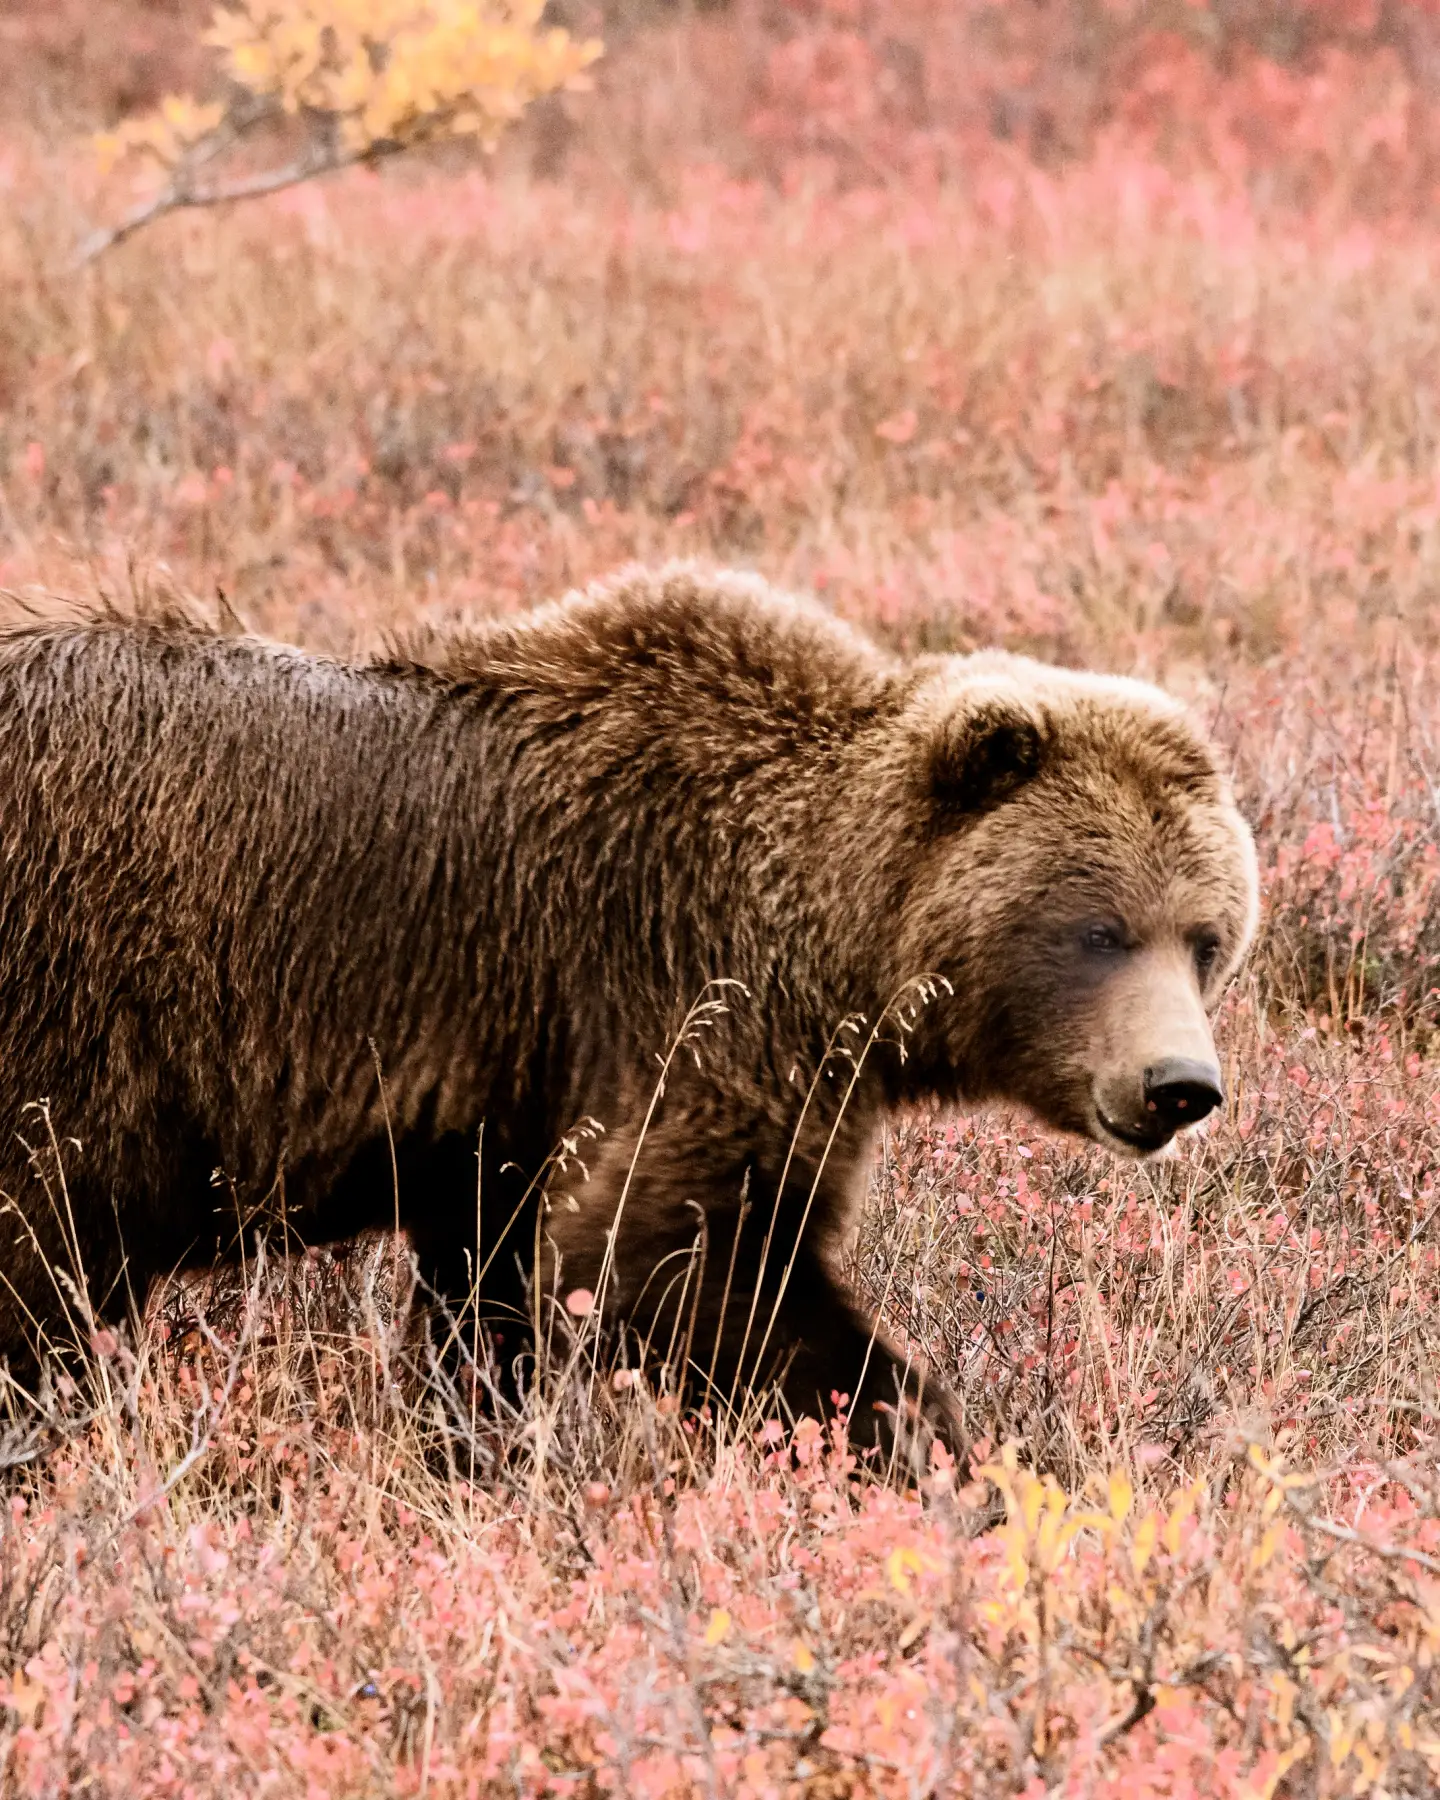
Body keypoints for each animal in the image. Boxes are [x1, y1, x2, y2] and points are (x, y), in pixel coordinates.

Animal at [0, 564, 1257, 1456]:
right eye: (1097, 930)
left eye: (1206, 938)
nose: (1179, 1087)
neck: (836, 929)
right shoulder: (683, 990)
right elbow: (667, 1251)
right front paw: (921, 1442)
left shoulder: (510, 1103)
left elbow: (497, 1287)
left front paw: (474, 1438)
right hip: (80, 1010)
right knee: (43, 1250)